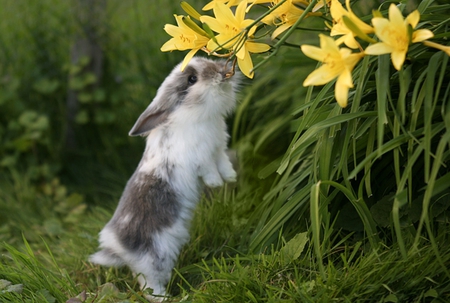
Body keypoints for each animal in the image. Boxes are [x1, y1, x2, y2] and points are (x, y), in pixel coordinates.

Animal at [89, 57, 241, 302]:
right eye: (192, 79)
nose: (221, 70)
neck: (193, 114)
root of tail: (118, 248)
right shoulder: (201, 158)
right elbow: (209, 170)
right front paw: (216, 184)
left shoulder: (218, 149)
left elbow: (223, 163)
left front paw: (230, 177)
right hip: (156, 259)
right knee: (149, 287)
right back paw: (169, 298)